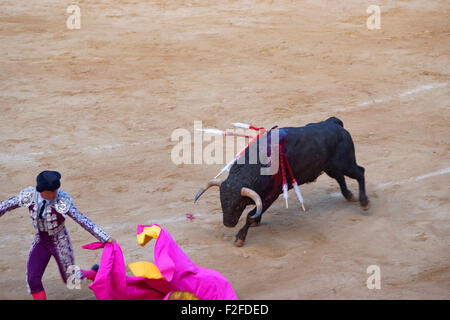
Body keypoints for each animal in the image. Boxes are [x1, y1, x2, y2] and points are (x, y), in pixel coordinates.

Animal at [193, 116, 370, 246]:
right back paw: (349, 195)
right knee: (340, 178)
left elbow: (250, 215)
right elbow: (255, 211)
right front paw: (255, 221)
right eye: (222, 201)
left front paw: (240, 237)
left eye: (238, 205)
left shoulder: (272, 195)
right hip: (330, 167)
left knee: (360, 172)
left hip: (345, 163)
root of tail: (334, 123)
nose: (228, 223)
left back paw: (364, 202)